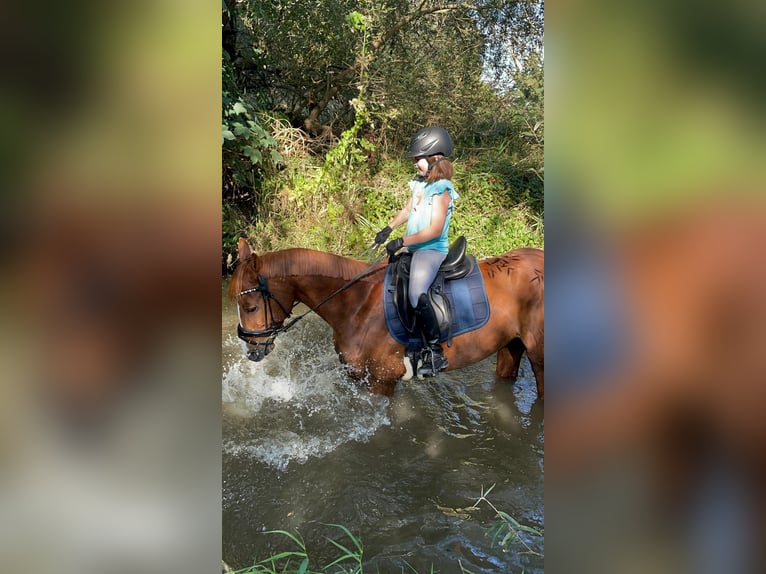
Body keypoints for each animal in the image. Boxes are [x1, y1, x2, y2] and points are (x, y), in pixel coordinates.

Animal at [230, 238, 544, 400]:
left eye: (250, 307)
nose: (251, 350)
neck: (357, 303)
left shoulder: (381, 383)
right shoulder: (359, 378)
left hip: (539, 357)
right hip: (510, 346)